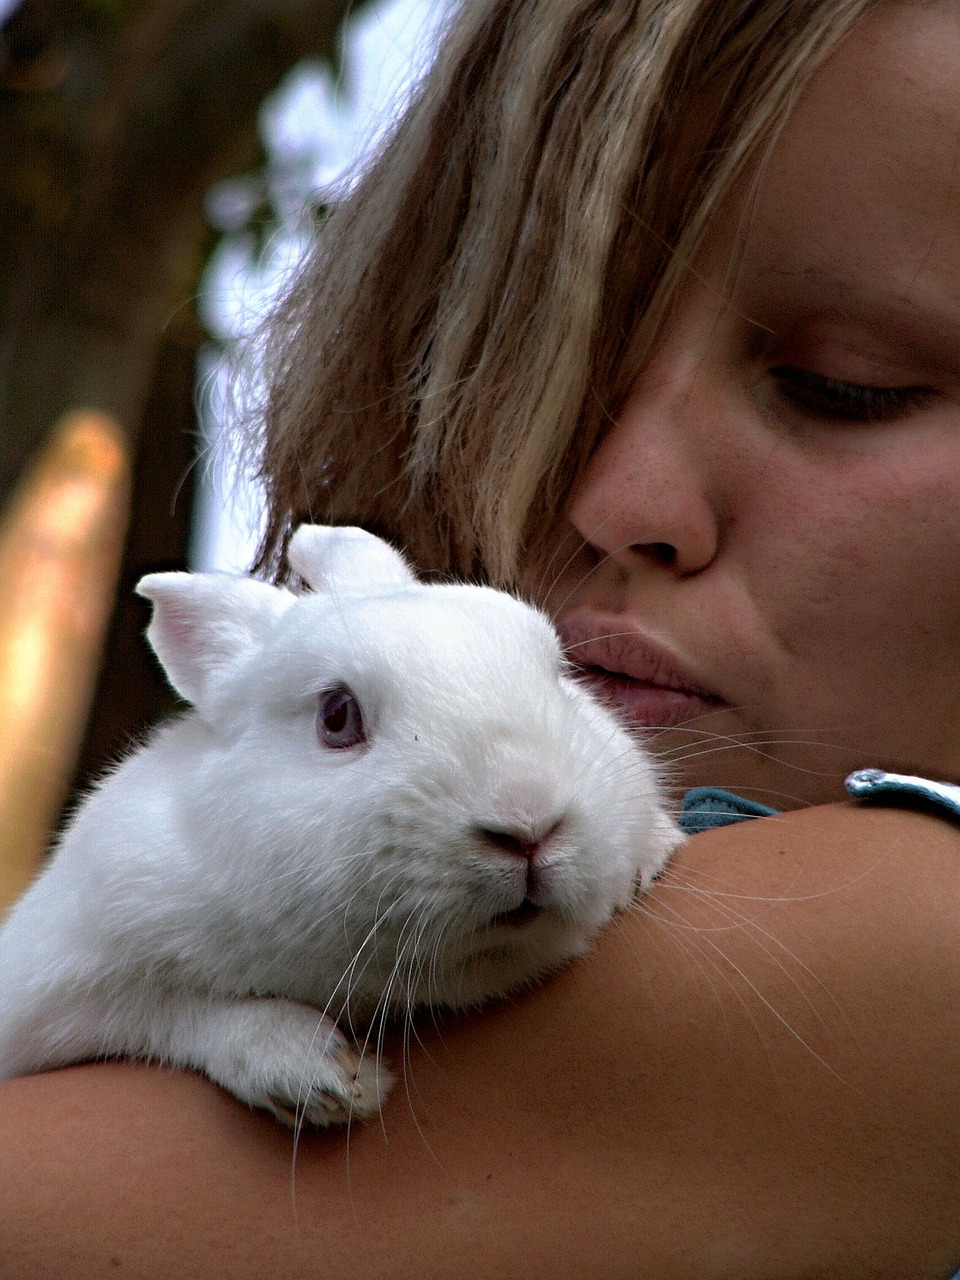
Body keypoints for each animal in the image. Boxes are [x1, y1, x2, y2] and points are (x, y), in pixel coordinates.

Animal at [0, 524, 686, 1126]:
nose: (530, 822)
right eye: (336, 716)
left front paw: (647, 856)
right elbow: (181, 1014)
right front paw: (318, 1077)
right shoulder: (58, 986)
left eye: (558, 674)